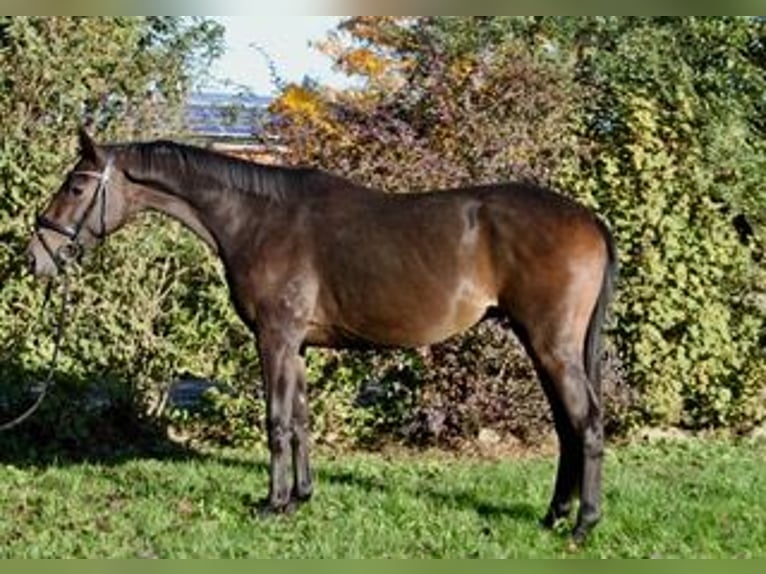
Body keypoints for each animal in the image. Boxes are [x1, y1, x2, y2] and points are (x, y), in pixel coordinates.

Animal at [26, 128, 617, 543]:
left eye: (75, 185)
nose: (38, 255)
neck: (256, 219)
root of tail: (589, 218)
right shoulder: (298, 347)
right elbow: (302, 421)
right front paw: (300, 497)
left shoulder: (274, 339)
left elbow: (276, 422)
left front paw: (272, 504)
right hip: (544, 347)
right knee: (567, 429)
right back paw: (553, 515)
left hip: (552, 346)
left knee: (586, 424)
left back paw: (583, 524)